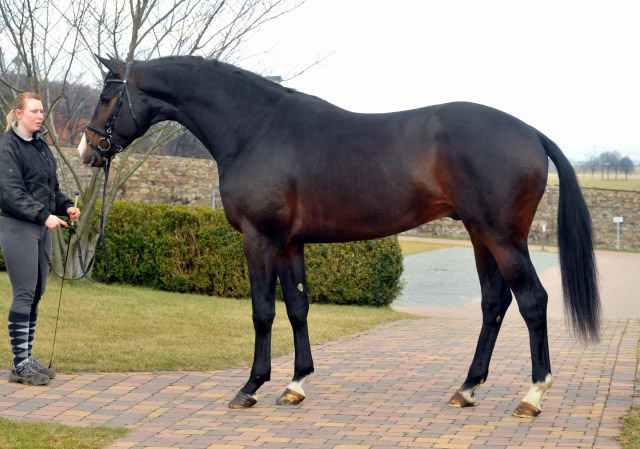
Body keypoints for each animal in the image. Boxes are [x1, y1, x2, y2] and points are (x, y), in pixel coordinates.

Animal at [79, 55, 600, 416]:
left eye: (107, 97)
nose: (87, 149)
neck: (256, 128)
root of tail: (531, 132)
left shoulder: (260, 238)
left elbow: (263, 311)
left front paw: (250, 387)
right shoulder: (290, 243)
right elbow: (297, 307)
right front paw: (295, 385)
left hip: (502, 237)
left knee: (532, 300)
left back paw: (532, 395)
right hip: (478, 235)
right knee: (494, 303)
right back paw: (467, 389)